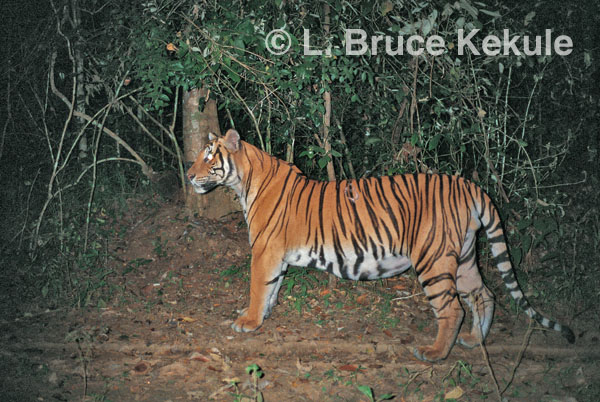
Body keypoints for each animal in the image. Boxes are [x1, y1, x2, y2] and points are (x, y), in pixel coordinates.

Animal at [188, 130, 576, 364]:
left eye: (209, 156)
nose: (189, 175)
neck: (245, 181)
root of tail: (468, 184)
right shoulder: (275, 256)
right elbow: (271, 289)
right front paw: (261, 317)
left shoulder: (265, 251)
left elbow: (258, 286)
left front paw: (248, 322)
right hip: (465, 257)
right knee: (485, 295)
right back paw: (473, 340)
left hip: (433, 261)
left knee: (452, 309)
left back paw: (435, 352)